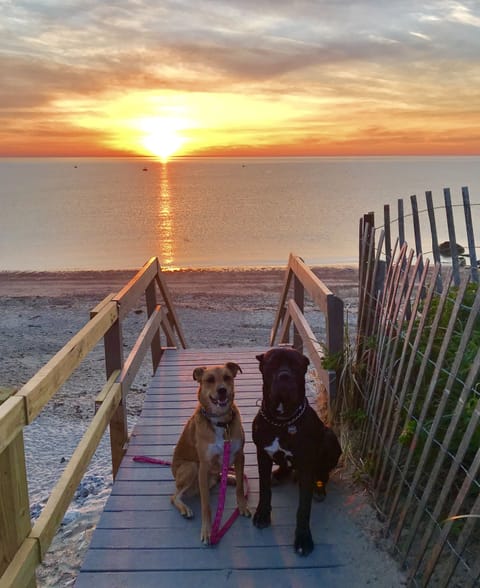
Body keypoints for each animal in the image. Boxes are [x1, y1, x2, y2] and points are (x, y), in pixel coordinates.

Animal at [170, 360, 251, 544]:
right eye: (209, 380)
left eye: (227, 377)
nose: (222, 390)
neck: (221, 422)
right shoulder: (204, 465)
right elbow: (206, 505)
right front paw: (207, 531)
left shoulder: (240, 456)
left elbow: (240, 488)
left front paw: (242, 506)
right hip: (192, 467)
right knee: (174, 496)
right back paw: (185, 508)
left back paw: (229, 477)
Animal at [251, 346, 342, 560]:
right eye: (272, 364)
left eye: (297, 366)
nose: (284, 376)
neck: (282, 420)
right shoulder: (262, 454)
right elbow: (264, 489)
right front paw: (262, 514)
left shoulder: (307, 464)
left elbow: (303, 508)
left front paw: (303, 538)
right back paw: (278, 475)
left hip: (329, 437)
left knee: (323, 473)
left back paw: (318, 487)